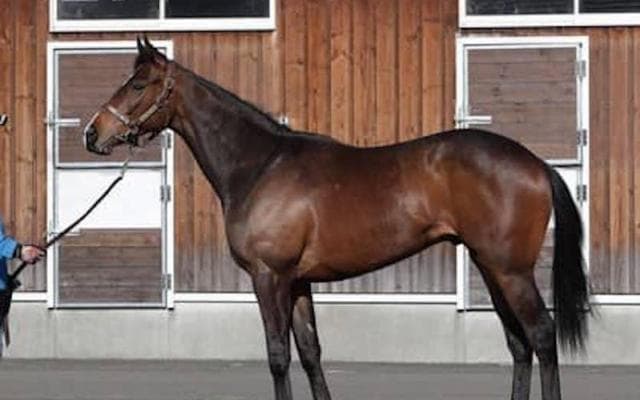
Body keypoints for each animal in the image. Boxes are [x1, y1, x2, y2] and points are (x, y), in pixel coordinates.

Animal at [83, 37, 589, 400]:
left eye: (137, 84)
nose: (93, 133)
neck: (260, 163)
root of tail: (536, 164)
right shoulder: (298, 282)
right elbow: (310, 353)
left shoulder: (269, 277)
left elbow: (278, 356)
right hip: (489, 266)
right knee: (519, 344)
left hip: (510, 270)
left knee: (541, 336)